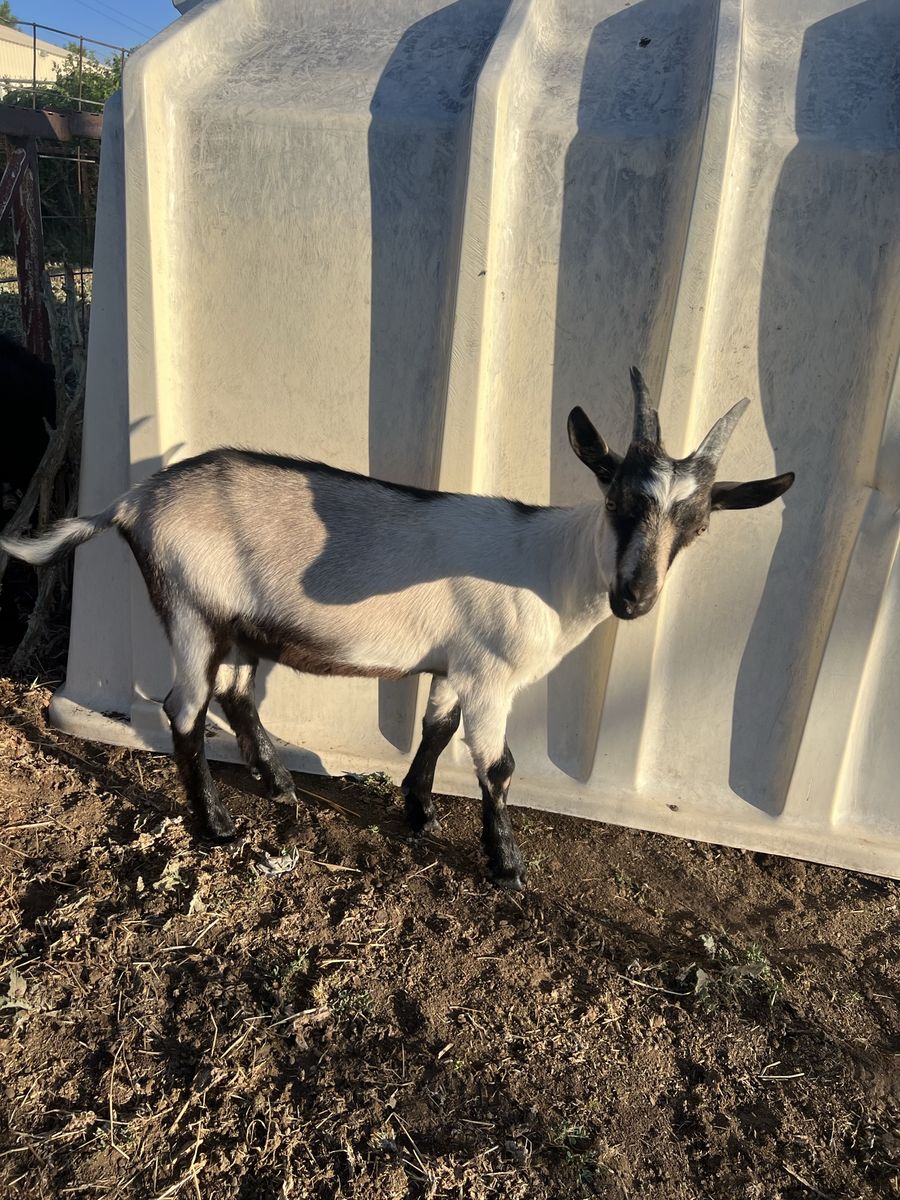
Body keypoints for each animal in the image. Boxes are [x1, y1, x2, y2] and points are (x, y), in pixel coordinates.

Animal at [1, 368, 794, 888]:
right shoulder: (491, 676)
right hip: (193, 612)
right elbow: (499, 765)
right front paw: (505, 865)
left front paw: (418, 811)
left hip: (244, 627)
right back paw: (216, 823)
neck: (547, 564)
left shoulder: (455, 667)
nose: (634, 597)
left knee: (236, 693)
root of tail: (133, 501)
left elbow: (435, 730)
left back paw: (280, 786)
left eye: (697, 525)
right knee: (185, 709)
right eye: (619, 498)